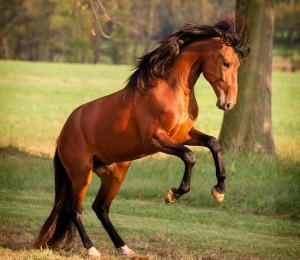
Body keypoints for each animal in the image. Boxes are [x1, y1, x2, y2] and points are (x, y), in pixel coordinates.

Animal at [34, 16, 250, 258]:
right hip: (81, 175)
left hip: (114, 174)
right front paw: (173, 194)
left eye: (238, 65)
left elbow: (213, 143)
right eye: (226, 63)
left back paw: (124, 248)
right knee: (75, 209)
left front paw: (219, 191)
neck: (169, 89)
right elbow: (189, 156)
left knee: (101, 208)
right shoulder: (156, 139)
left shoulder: (183, 134)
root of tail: (63, 133)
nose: (228, 103)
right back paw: (92, 249)